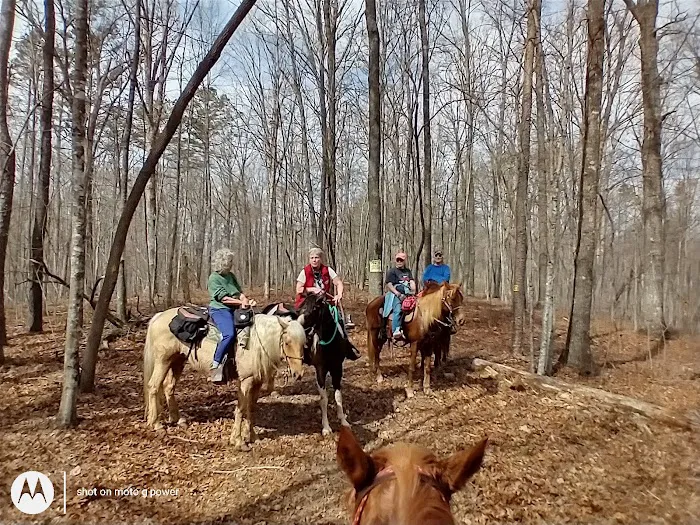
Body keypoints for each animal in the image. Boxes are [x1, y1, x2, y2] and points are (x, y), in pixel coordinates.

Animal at [142, 307, 307, 451]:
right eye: (287, 342)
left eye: (303, 344)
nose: (298, 374)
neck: (256, 343)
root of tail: (159, 316)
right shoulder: (245, 381)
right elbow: (241, 409)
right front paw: (238, 441)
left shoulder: (257, 382)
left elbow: (251, 408)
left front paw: (252, 436)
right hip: (163, 360)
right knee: (154, 386)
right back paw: (156, 424)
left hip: (177, 360)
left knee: (168, 387)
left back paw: (177, 419)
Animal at [297, 293, 356, 436]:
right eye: (300, 307)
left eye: (314, 308)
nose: (297, 324)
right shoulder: (320, 370)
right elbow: (324, 399)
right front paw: (326, 427)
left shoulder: (337, 368)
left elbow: (338, 396)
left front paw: (343, 421)